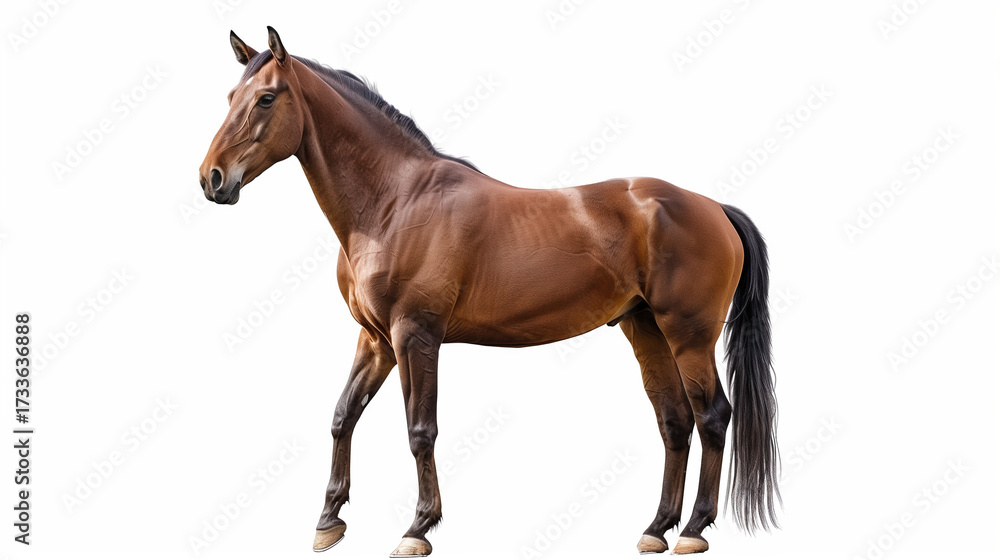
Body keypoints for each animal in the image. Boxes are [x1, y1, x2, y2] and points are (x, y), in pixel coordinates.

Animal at [199, 27, 779, 557]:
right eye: (229, 97)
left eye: (266, 98)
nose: (212, 179)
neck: (394, 203)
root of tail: (713, 206)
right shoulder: (376, 340)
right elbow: (343, 416)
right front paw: (328, 522)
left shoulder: (415, 336)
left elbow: (420, 429)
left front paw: (418, 528)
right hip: (646, 330)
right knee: (674, 422)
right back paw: (656, 528)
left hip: (689, 335)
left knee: (712, 416)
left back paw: (693, 529)